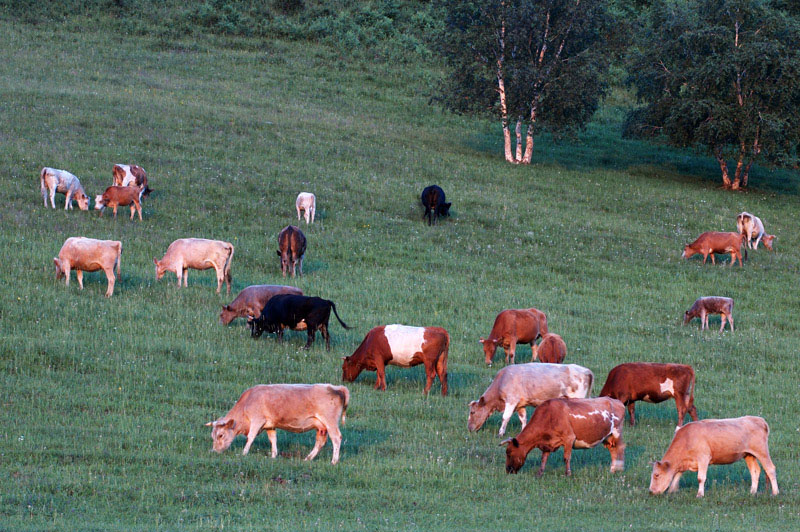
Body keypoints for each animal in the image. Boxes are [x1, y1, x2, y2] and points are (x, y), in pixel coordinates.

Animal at [205, 382, 348, 466]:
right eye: (212, 436)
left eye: (221, 435)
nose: (214, 451)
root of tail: (336, 387)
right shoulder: (270, 425)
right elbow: (273, 439)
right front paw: (273, 456)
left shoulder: (257, 420)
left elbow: (250, 437)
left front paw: (244, 453)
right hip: (321, 427)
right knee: (320, 442)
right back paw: (308, 458)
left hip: (330, 422)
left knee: (336, 438)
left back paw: (334, 461)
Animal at [652, 416, 780, 498]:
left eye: (656, 475)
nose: (651, 491)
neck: (687, 438)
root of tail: (759, 420)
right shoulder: (684, 462)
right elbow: (677, 475)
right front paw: (671, 491)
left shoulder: (703, 457)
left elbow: (700, 478)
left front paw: (700, 494)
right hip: (749, 455)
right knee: (755, 471)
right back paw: (752, 492)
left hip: (761, 451)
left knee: (770, 469)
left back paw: (775, 492)